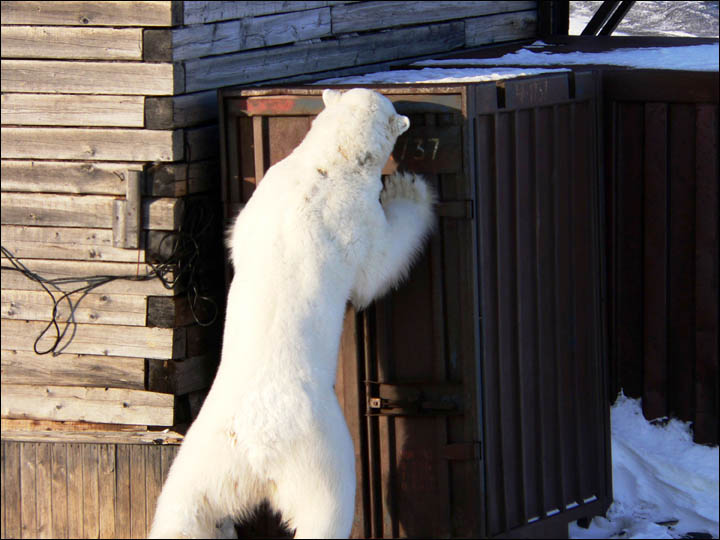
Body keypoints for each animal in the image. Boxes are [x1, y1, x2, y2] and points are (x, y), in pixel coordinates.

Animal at [148, 88, 434, 540]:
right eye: (392, 109)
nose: (406, 113)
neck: (325, 164)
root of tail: (257, 453)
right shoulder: (354, 217)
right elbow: (377, 267)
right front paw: (408, 189)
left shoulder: (263, 193)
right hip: (319, 452)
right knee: (327, 507)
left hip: (205, 457)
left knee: (185, 511)